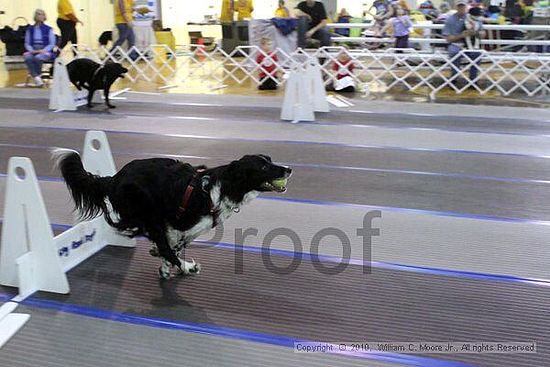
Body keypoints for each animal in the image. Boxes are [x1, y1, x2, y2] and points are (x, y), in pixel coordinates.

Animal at [52, 151, 294, 280]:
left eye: (270, 160)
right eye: (263, 166)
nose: (289, 169)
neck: (224, 186)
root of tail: (113, 178)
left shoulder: (183, 228)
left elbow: (175, 246)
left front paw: (165, 267)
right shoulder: (177, 222)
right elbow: (169, 248)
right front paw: (178, 265)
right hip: (147, 211)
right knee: (131, 227)